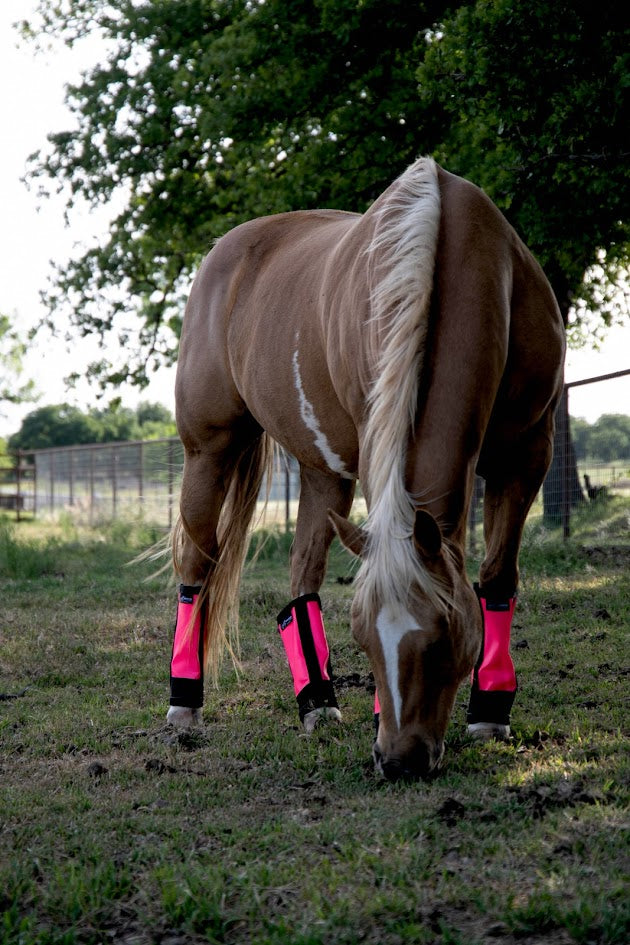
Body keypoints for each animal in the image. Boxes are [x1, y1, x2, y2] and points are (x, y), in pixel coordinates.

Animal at [166, 157, 565, 781]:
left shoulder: (529, 452)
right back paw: (185, 705)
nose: (399, 759)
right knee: (197, 564)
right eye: (363, 637)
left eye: (446, 634)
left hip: (322, 469)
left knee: (302, 575)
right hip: (208, 448)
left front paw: (490, 713)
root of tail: (221, 252)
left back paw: (317, 703)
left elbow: (498, 576)